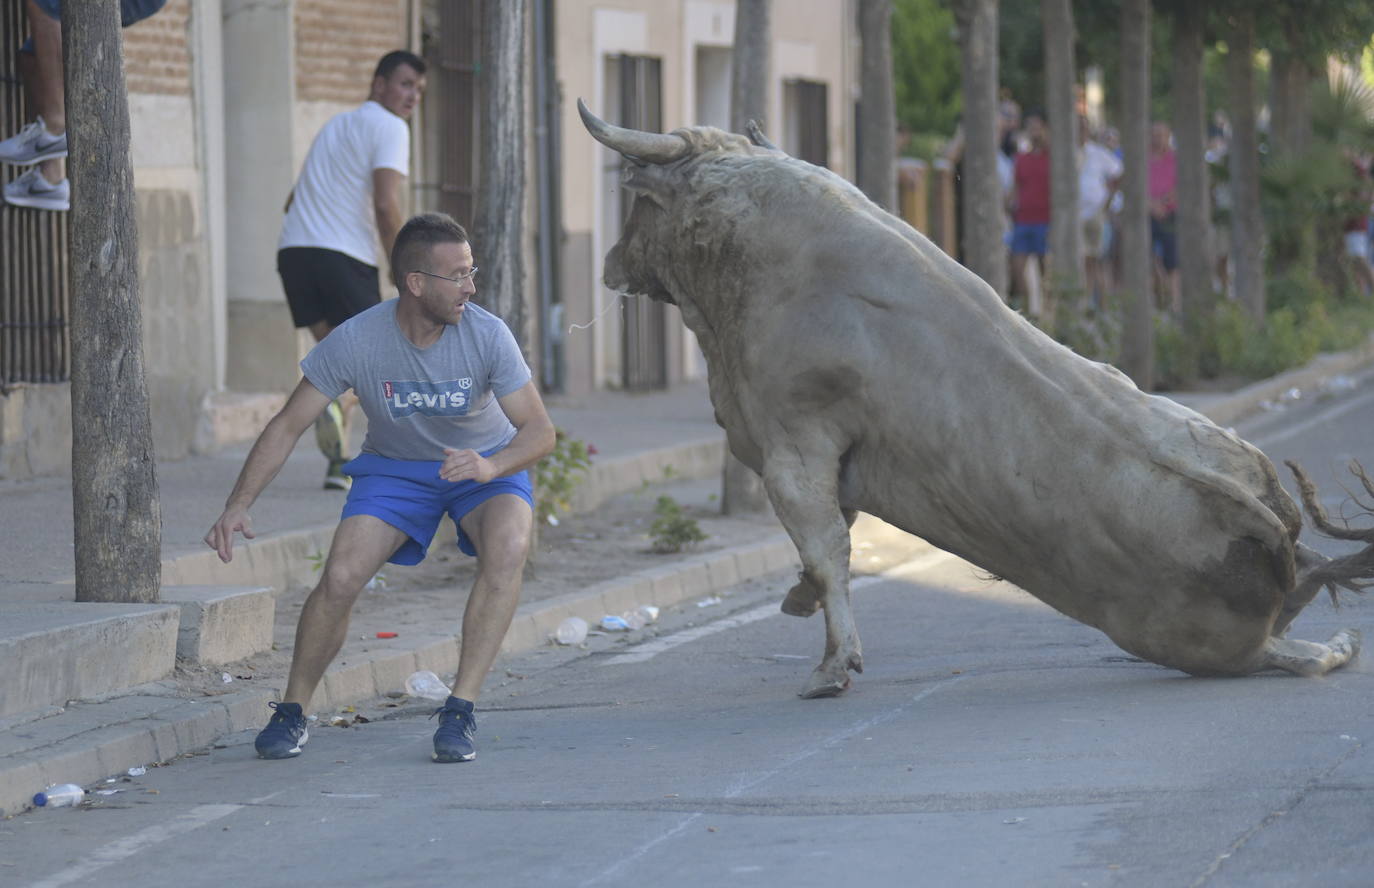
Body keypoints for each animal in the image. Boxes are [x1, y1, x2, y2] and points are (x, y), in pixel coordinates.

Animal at [579, 101, 1374, 698]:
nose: (610, 264)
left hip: (1195, 640)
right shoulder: (830, 459)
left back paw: (1334, 644)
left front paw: (833, 667)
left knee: (1287, 656)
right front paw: (801, 604)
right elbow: (831, 542)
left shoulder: (793, 451)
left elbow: (828, 548)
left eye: (638, 201)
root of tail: (1268, 519)